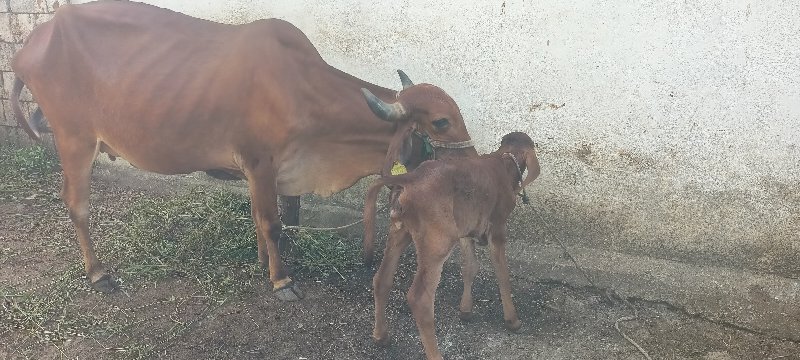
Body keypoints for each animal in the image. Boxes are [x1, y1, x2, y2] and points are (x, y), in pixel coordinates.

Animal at [10, 0, 476, 300]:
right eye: (441, 122)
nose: (473, 162)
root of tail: (33, 41)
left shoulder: (272, 169)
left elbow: (272, 217)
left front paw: (265, 260)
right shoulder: (259, 161)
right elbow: (272, 221)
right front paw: (282, 280)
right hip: (75, 140)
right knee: (76, 205)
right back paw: (99, 275)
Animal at [364, 132, 540, 360]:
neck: (503, 161)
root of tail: (409, 178)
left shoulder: (465, 230)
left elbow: (470, 267)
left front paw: (465, 309)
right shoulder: (498, 229)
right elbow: (503, 275)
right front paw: (512, 319)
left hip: (400, 232)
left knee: (381, 279)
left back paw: (380, 335)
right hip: (438, 242)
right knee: (420, 299)